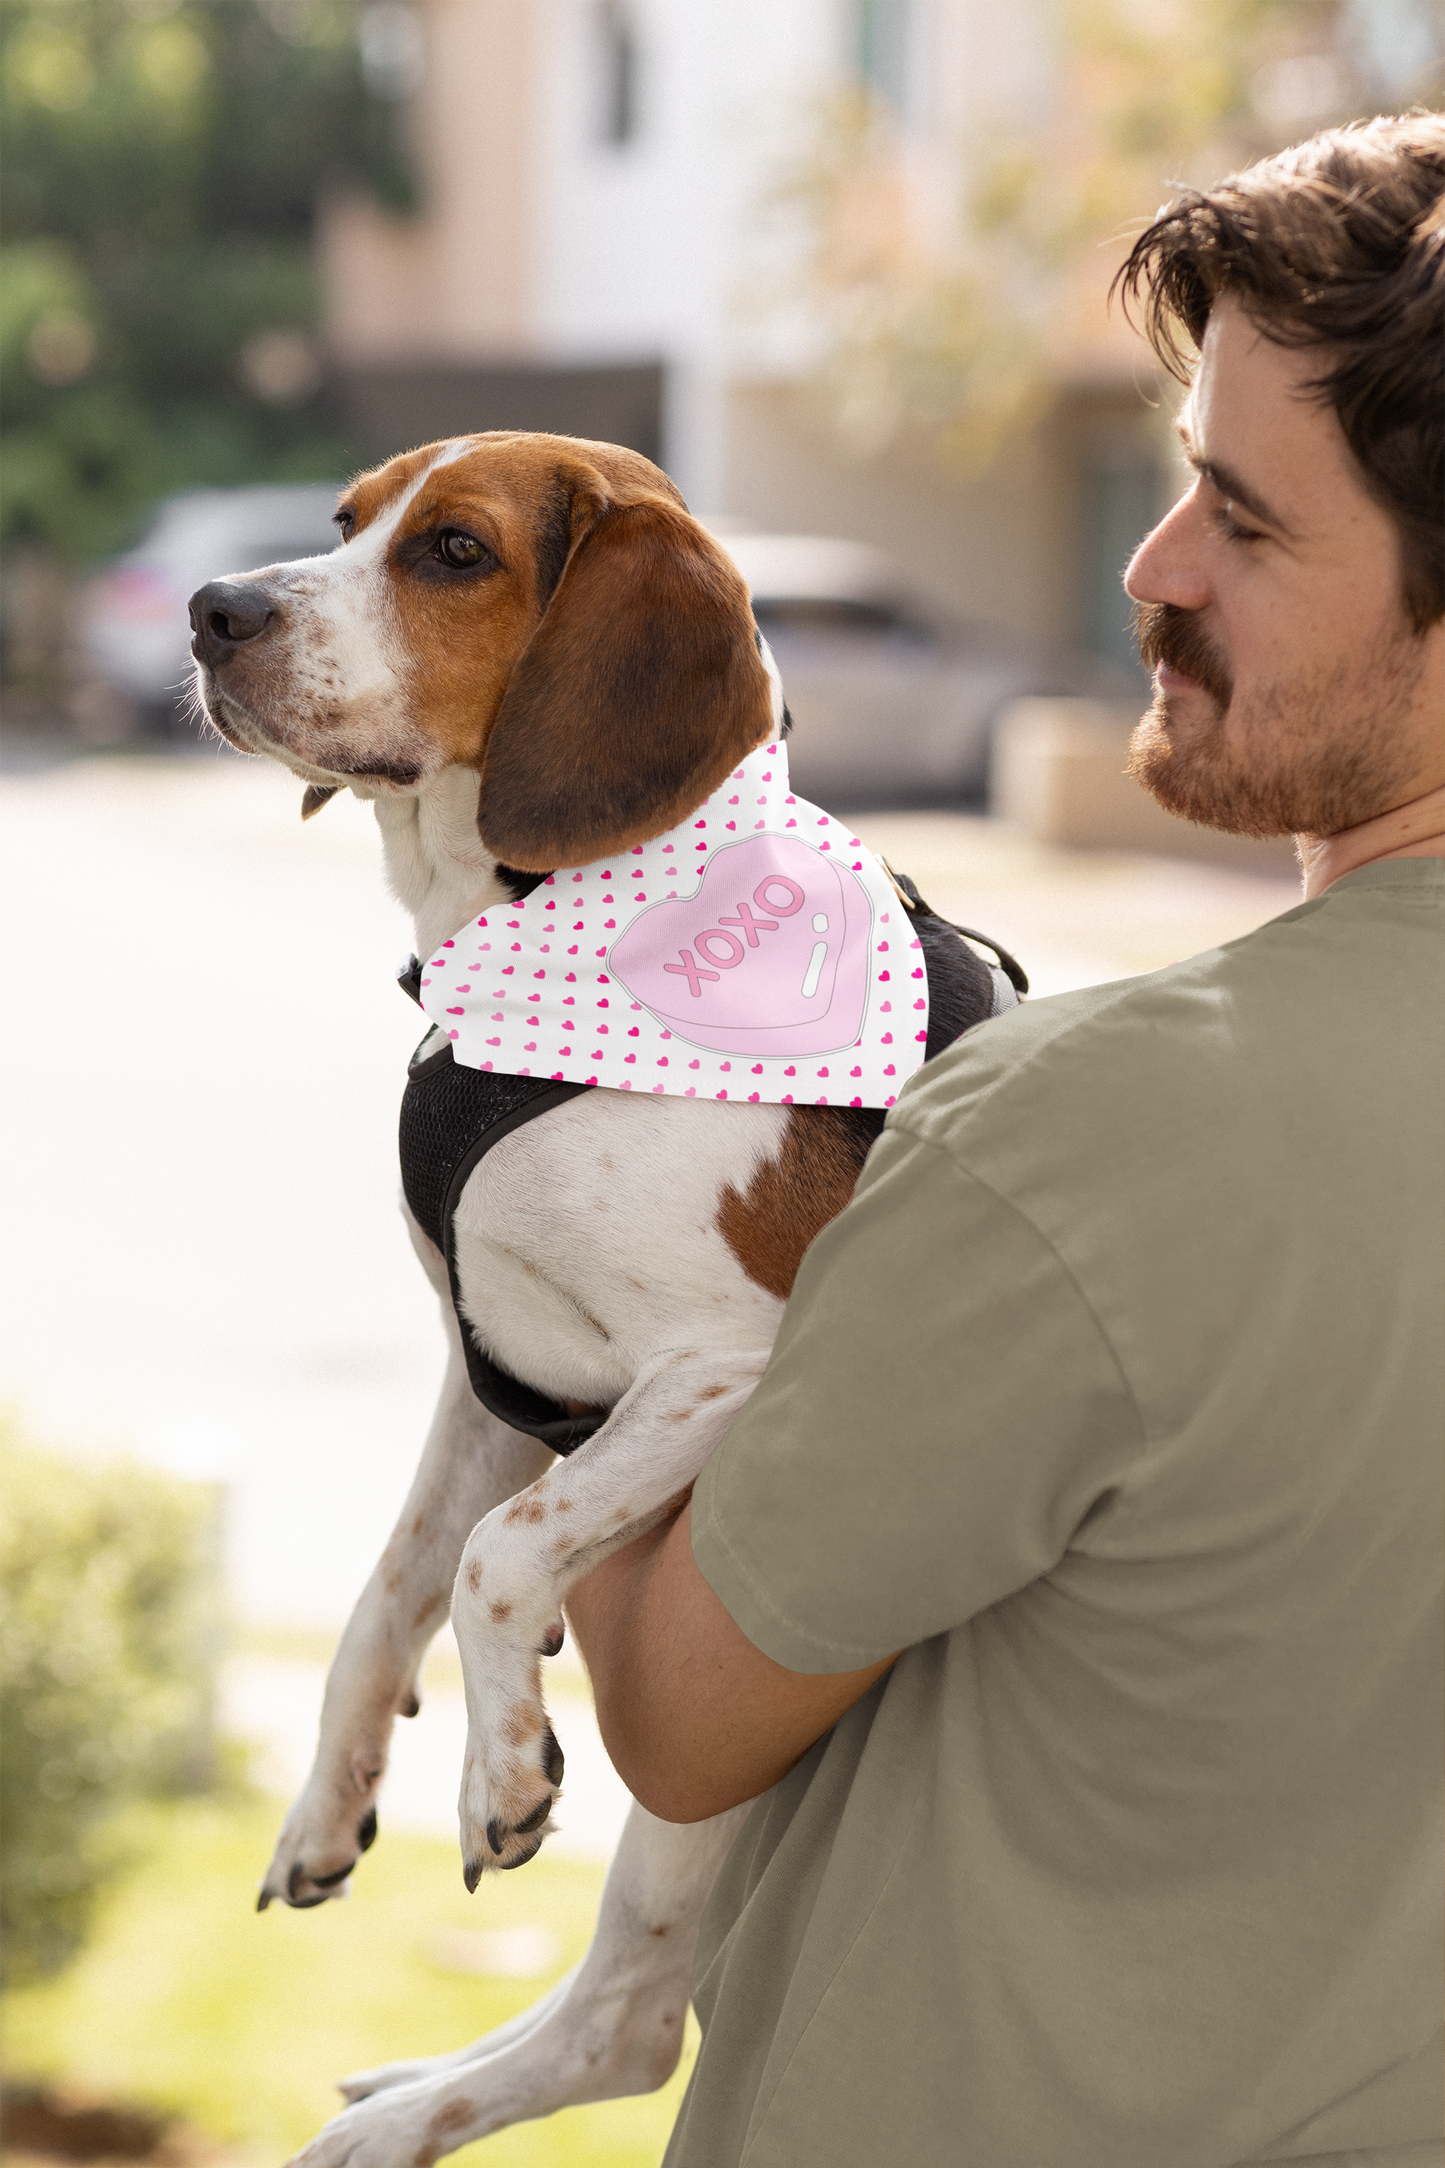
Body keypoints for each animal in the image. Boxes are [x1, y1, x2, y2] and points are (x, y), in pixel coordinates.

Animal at [189, 427, 1005, 2168]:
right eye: (345, 521)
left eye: (455, 552)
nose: (216, 609)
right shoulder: (490, 1370)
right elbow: (393, 1584)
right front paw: (330, 1797)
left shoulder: (730, 1371)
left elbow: (497, 1558)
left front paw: (495, 1769)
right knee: (623, 2018)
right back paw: (400, 2104)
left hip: (711, 1759)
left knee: (633, 2027)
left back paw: (395, 2122)